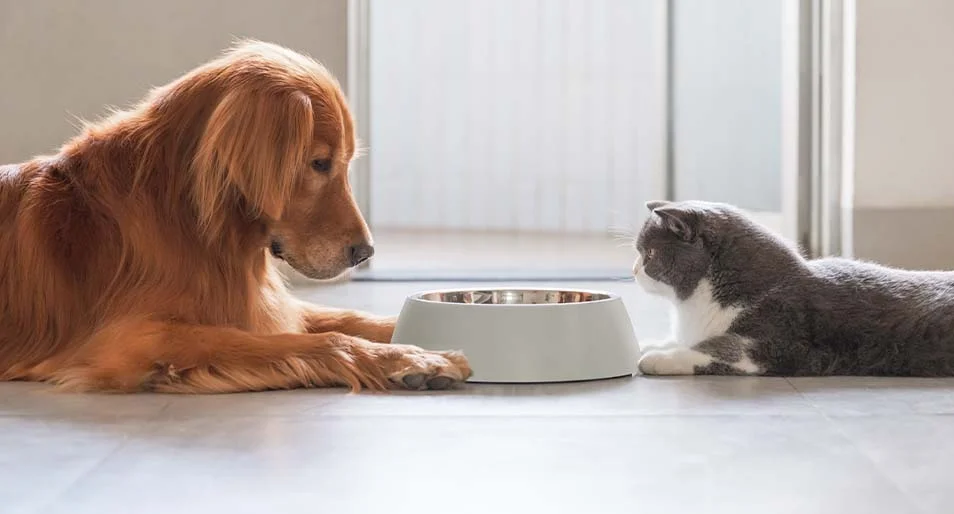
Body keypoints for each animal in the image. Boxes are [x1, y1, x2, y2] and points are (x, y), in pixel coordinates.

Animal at [0, 41, 472, 392]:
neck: (188, 218)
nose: (365, 252)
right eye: (320, 164)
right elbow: (320, 339)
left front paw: (411, 336)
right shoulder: (134, 338)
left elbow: (348, 318)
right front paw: (410, 357)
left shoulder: (261, 304)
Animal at [636, 198, 952, 374]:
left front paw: (656, 358)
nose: (634, 270)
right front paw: (648, 344)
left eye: (648, 254)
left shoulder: (772, 342)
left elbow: (713, 349)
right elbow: (684, 339)